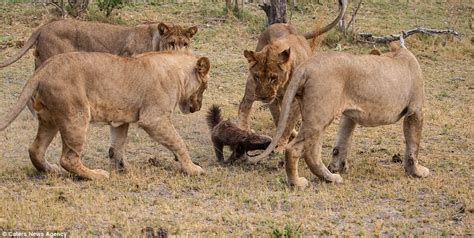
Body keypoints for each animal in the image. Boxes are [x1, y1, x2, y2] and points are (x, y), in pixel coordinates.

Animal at [0, 51, 211, 179]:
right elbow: (178, 142)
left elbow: (117, 147)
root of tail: (45, 67)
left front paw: (125, 169)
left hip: (49, 118)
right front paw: (192, 168)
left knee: (35, 149)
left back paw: (51, 170)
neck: (178, 73)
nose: (199, 107)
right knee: (68, 158)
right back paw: (96, 175)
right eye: (204, 86)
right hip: (76, 115)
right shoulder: (154, 119)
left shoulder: (121, 121)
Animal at [241, 0, 348, 151]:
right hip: (251, 87)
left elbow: (288, 122)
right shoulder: (271, 98)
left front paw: (281, 145)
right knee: (244, 105)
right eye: (257, 76)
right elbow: (278, 117)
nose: (262, 97)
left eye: (273, 78)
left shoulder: (295, 101)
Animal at [250, 41, 432, 189]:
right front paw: (416, 172)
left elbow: (342, 142)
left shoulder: (349, 115)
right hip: (320, 115)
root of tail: (306, 66)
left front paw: (338, 167)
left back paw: (330, 177)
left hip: (318, 116)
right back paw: (297, 182)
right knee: (294, 149)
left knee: (311, 152)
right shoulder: (415, 110)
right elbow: (413, 146)